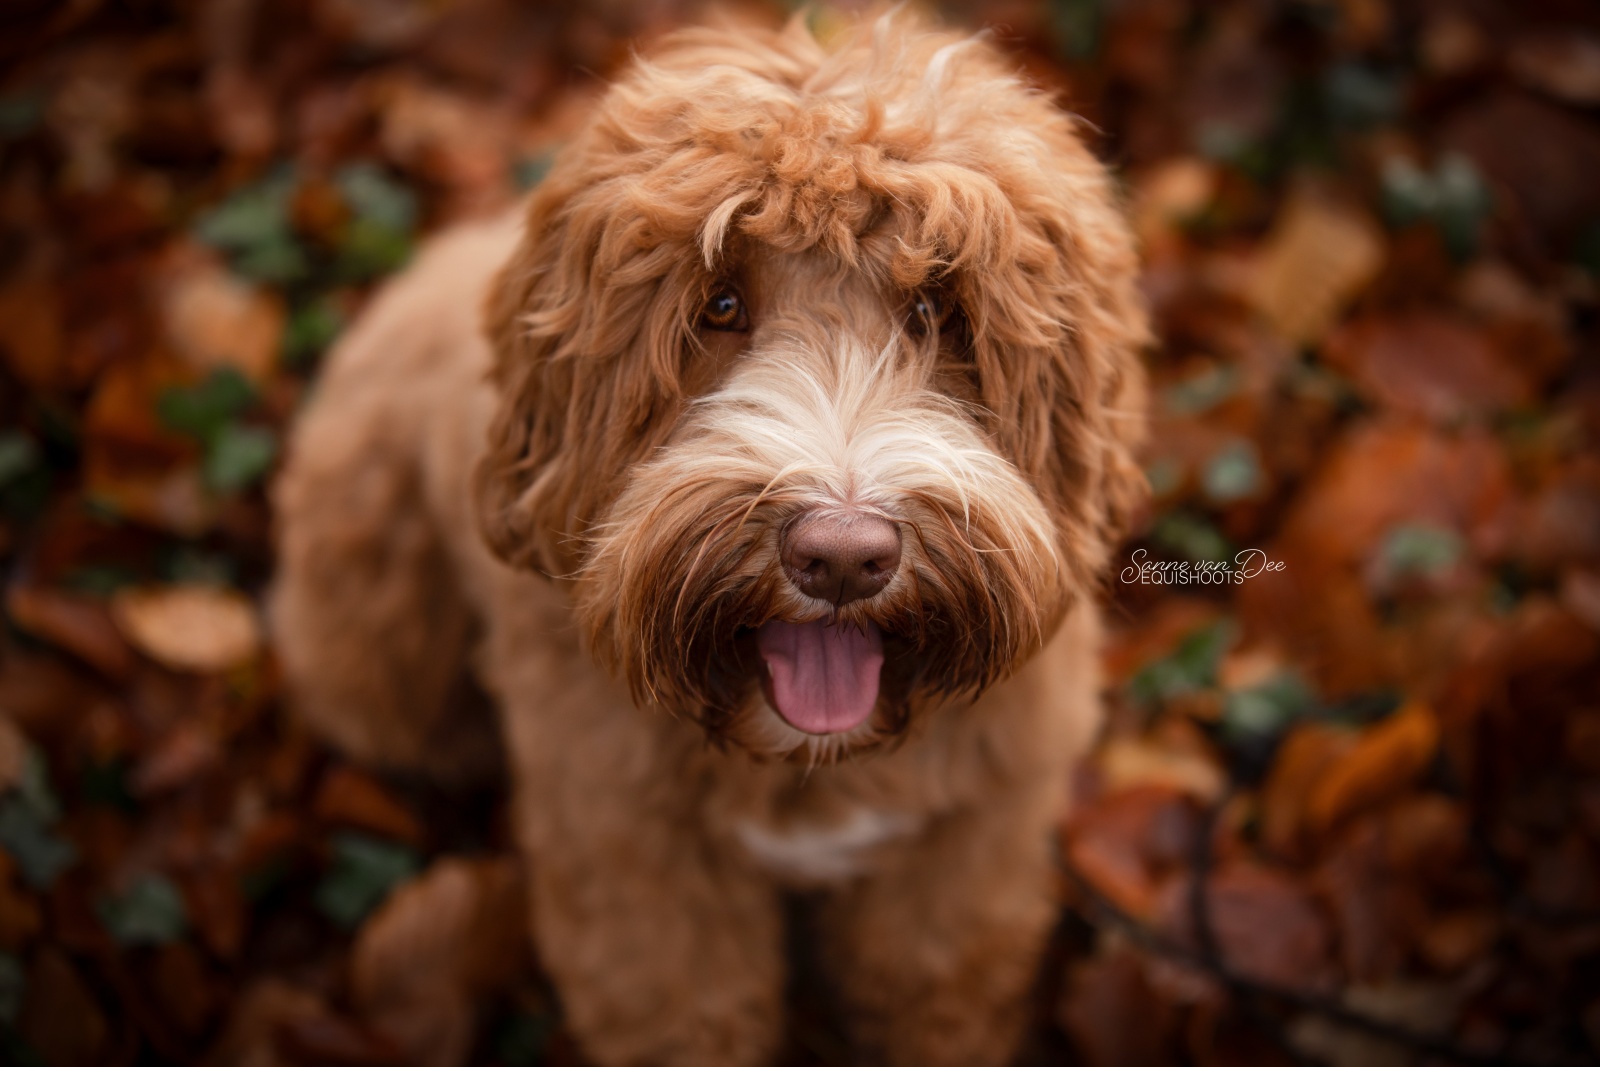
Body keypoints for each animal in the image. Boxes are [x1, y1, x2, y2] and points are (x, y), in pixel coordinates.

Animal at [278, 10, 1152, 1067]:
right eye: (719, 305)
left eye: (935, 310)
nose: (843, 556)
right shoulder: (631, 858)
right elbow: (681, 1011)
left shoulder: (968, 845)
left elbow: (934, 990)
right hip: (373, 643)